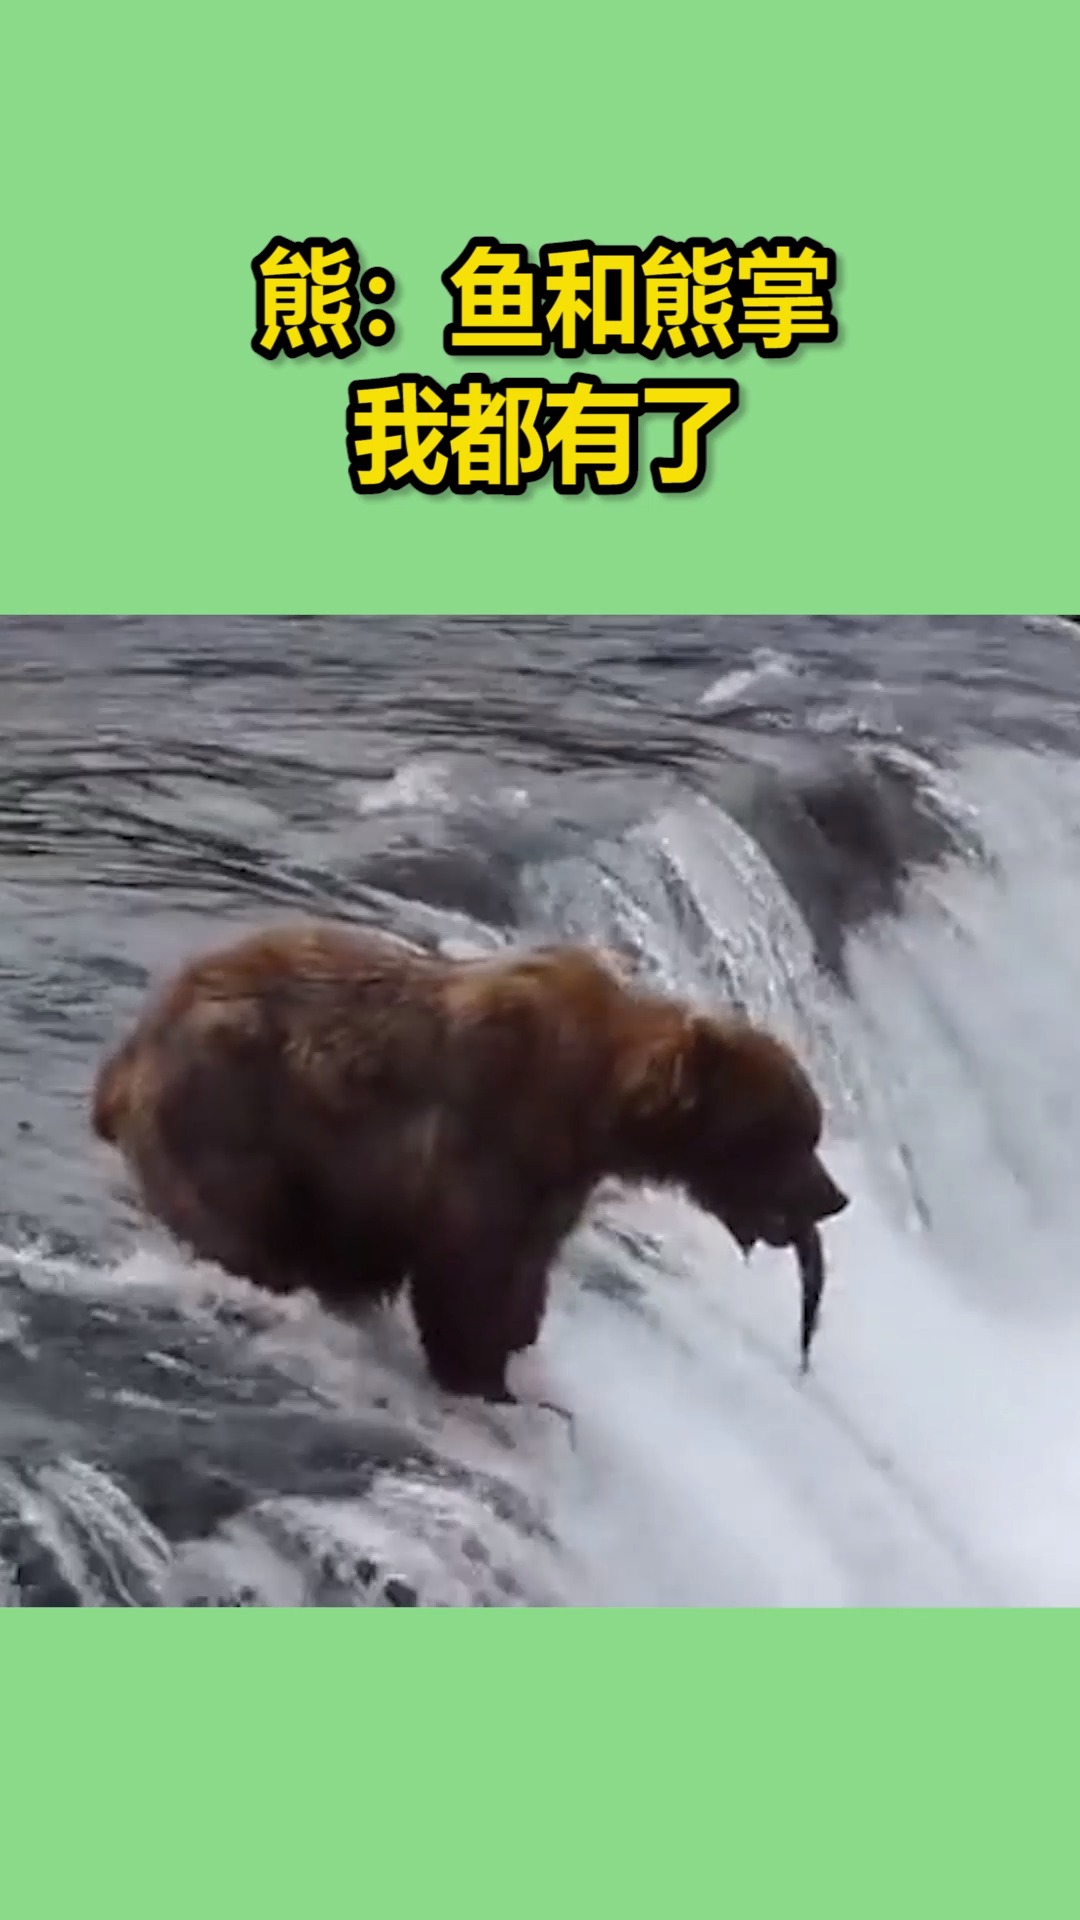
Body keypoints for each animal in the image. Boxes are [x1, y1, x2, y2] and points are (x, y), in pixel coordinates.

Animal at [91, 921, 848, 1403]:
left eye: (809, 1130)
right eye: (789, 1135)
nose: (834, 1198)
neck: (596, 1102)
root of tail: (124, 1057)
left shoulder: (555, 1174)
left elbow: (524, 1266)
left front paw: (513, 1342)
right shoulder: (489, 1129)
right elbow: (467, 1268)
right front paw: (481, 1372)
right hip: (231, 1113)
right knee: (246, 1228)